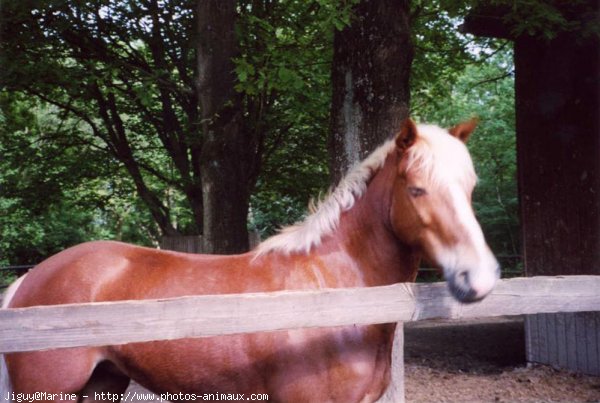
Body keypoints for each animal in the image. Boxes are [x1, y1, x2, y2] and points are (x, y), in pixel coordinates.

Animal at [0, 118, 500, 402]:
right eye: (416, 189)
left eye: (471, 186)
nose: (479, 278)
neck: (331, 295)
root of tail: (28, 282)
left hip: (102, 384)